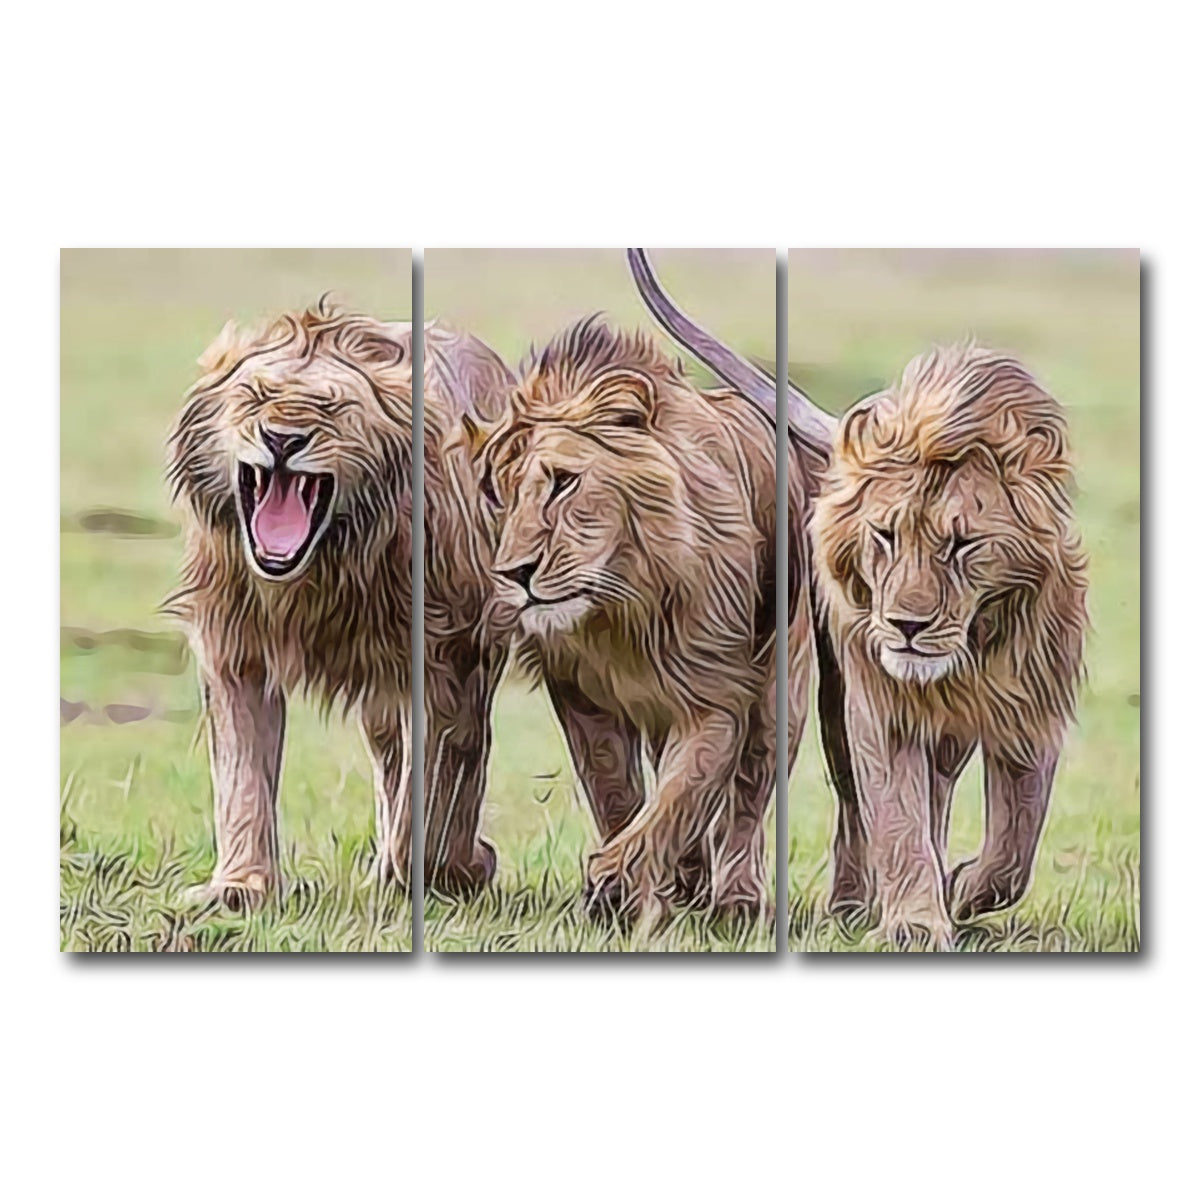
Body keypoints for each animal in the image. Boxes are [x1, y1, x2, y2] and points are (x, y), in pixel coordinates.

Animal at [167, 299, 514, 907]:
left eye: (332, 408)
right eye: (255, 395)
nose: (282, 439)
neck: (319, 572)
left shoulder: (450, 659)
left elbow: (438, 793)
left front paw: (455, 869)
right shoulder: (234, 647)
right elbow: (241, 774)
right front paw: (240, 886)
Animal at [469, 313, 814, 931]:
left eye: (563, 481)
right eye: (497, 494)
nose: (515, 573)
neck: (622, 606)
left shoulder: (716, 695)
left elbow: (680, 794)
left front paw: (615, 883)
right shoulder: (580, 695)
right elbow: (618, 795)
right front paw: (632, 890)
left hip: (782, 689)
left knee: (750, 793)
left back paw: (737, 901)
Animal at [811, 343, 1088, 947]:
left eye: (962, 544)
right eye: (885, 535)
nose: (905, 626)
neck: (974, 647)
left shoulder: (1031, 707)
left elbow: (1015, 844)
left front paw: (961, 889)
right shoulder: (882, 705)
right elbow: (896, 816)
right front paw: (914, 922)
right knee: (856, 806)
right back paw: (852, 904)